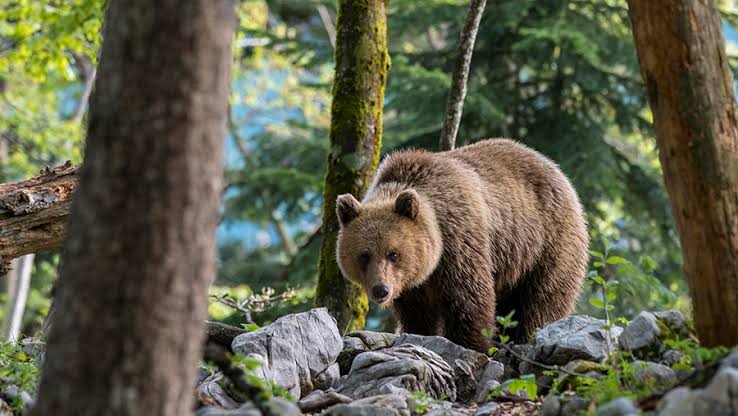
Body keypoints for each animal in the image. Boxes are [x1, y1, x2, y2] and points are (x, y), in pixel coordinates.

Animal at [335, 138, 589, 352]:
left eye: (393, 254)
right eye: (364, 255)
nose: (381, 289)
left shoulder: (459, 243)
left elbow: (469, 300)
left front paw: (471, 344)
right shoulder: (413, 285)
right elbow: (418, 314)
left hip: (546, 243)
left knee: (541, 300)